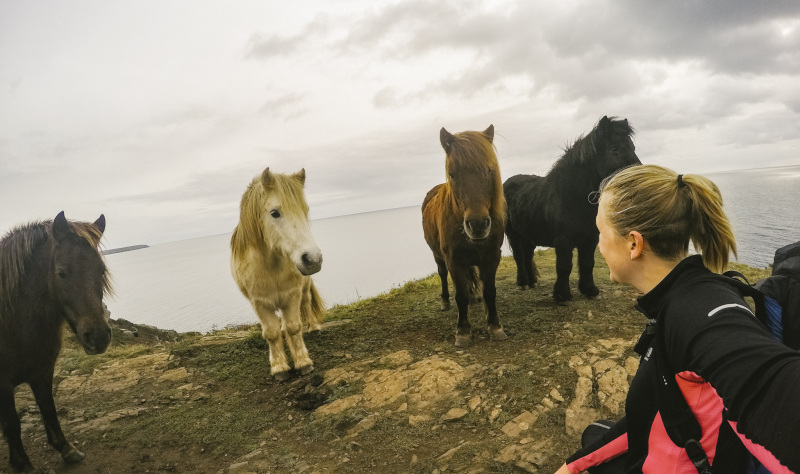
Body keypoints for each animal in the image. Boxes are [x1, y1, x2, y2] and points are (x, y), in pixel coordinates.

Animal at [0, 213, 111, 472]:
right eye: (61, 272)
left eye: (101, 271)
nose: (99, 336)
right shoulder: (3, 385)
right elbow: (12, 424)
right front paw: (23, 465)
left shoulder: (42, 372)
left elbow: (49, 408)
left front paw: (66, 449)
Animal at [230, 167, 324, 382]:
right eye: (275, 213)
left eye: (305, 211)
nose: (313, 259)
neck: (270, 267)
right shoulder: (259, 303)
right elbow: (272, 333)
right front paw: (279, 368)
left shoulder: (291, 296)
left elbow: (293, 327)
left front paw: (303, 362)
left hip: (304, 288)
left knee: (306, 303)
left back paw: (313, 327)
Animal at [418, 125, 506, 348]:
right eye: (453, 174)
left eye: (489, 170)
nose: (477, 225)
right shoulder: (454, 260)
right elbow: (460, 296)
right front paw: (463, 331)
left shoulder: (491, 257)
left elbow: (489, 291)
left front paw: (495, 326)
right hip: (438, 257)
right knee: (442, 275)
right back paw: (444, 301)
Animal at [504, 116, 640, 302]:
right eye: (614, 148)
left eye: (633, 147)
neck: (572, 196)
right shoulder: (563, 241)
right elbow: (564, 266)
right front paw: (562, 295)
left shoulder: (590, 239)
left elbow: (587, 264)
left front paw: (590, 290)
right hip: (513, 234)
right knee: (519, 256)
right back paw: (523, 282)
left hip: (528, 235)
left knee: (527, 255)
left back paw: (532, 282)